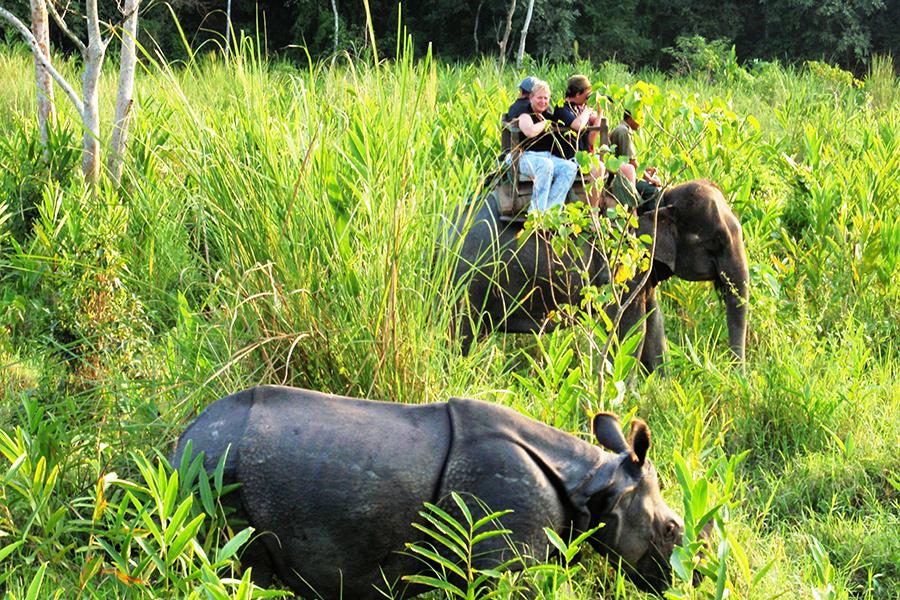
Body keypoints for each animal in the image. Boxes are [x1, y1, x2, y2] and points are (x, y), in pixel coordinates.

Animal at [174, 386, 696, 596]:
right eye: (672, 529)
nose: (684, 581)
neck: (592, 482)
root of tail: (180, 443)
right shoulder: (504, 556)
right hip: (216, 469)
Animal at [446, 180, 748, 372]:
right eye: (716, 240)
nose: (734, 374)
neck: (660, 198)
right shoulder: (621, 265)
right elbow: (631, 328)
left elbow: (654, 323)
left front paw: (661, 389)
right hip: (467, 284)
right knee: (462, 334)